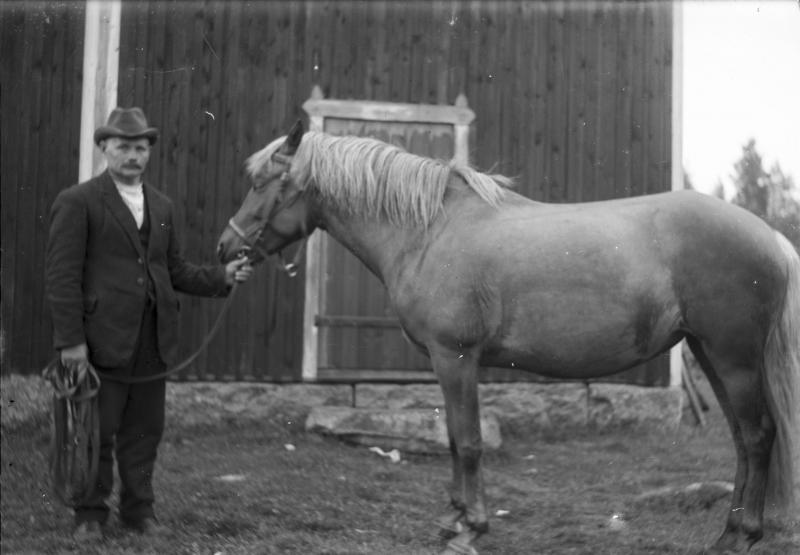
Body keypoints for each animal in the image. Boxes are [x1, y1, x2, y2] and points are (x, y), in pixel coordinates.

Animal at [217, 120, 800, 554]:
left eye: (263, 183)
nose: (227, 247)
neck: (429, 230)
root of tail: (770, 235)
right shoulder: (447, 362)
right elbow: (454, 440)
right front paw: (454, 520)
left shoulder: (455, 357)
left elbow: (470, 441)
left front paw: (469, 529)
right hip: (711, 353)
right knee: (741, 440)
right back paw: (729, 531)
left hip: (733, 357)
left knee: (757, 436)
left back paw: (743, 536)